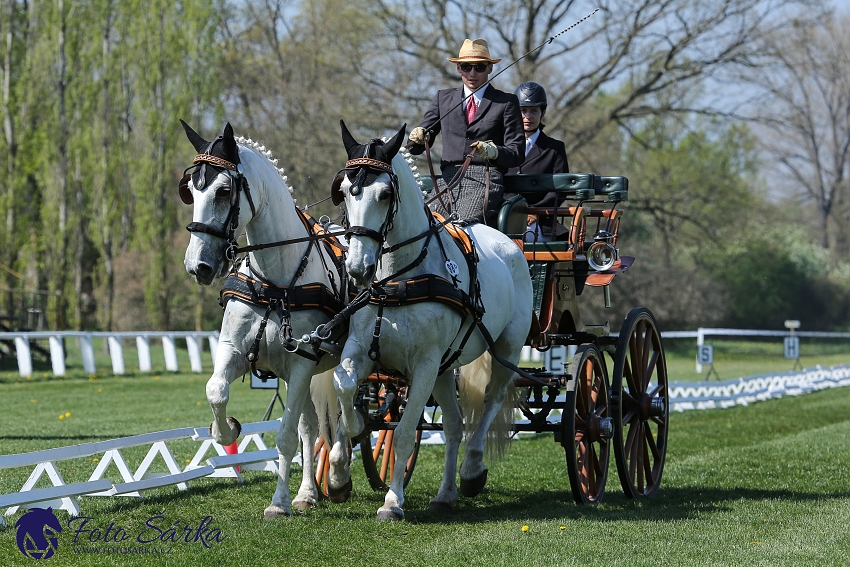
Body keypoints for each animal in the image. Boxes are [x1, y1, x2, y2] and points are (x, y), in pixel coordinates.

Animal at [181, 122, 344, 520]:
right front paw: (226, 430)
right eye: (191, 189)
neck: (275, 283)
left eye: (224, 191)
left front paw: (278, 502)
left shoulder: (302, 362)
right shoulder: (235, 350)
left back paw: (336, 476)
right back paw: (309, 493)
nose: (197, 265)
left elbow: (284, 436)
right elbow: (216, 390)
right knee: (311, 426)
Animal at [330, 122, 532, 520]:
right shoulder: (361, 349)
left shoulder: (423, 364)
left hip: (506, 350)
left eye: (385, 193)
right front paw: (342, 464)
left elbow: (404, 432)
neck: (396, 280)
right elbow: (343, 385)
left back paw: (472, 470)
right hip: (445, 367)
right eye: (344, 191)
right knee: (454, 425)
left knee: (491, 402)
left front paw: (392, 502)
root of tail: (509, 243)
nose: (358, 269)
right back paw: (445, 494)